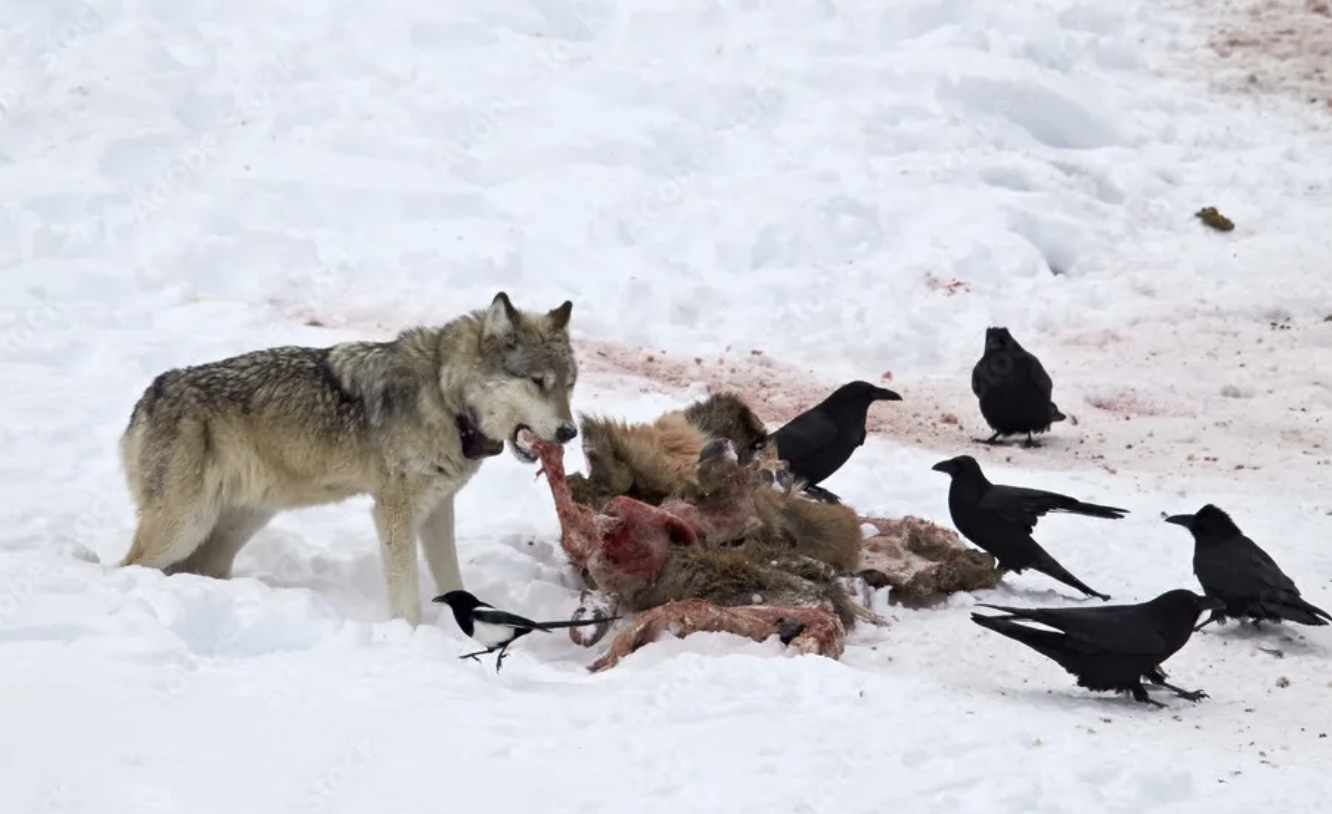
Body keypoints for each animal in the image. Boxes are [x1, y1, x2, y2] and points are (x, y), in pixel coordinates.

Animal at [116, 291, 579, 626]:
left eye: (570, 384)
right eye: (538, 381)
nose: (569, 432)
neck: (444, 398)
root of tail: (150, 394)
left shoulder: (437, 509)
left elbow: (454, 581)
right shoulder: (394, 512)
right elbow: (407, 598)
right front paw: (410, 637)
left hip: (231, 528)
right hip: (185, 527)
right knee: (127, 566)